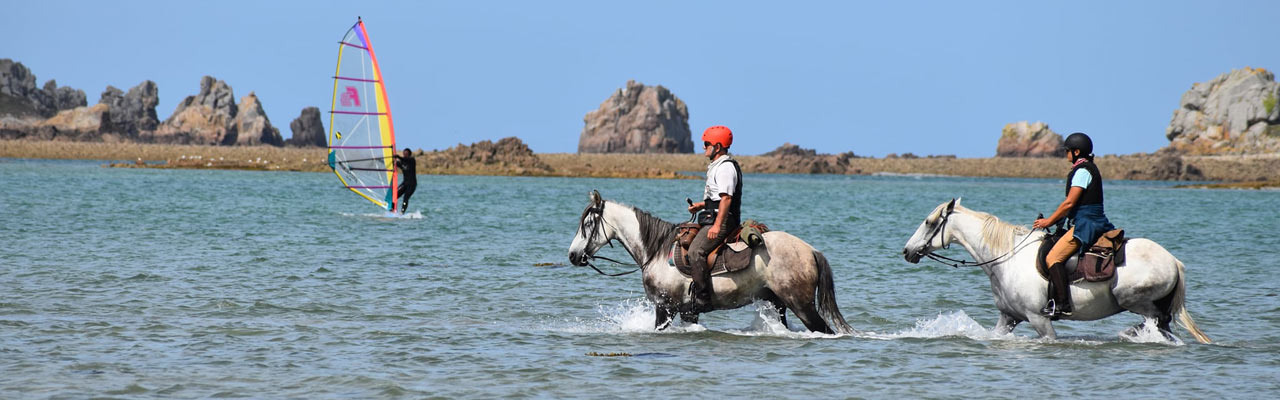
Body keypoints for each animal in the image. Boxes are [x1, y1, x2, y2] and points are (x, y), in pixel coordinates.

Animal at [568, 188, 849, 333]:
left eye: (589, 224)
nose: (572, 255)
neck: (656, 252)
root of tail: (811, 250)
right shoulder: (688, 312)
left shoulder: (664, 307)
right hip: (779, 304)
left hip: (801, 305)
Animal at [901, 198, 1208, 341]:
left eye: (929, 222)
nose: (907, 251)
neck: (1007, 258)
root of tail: (1173, 261)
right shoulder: (1008, 318)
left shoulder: (1039, 319)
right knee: (1161, 324)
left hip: (1133, 299)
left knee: (1156, 320)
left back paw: (1128, 334)